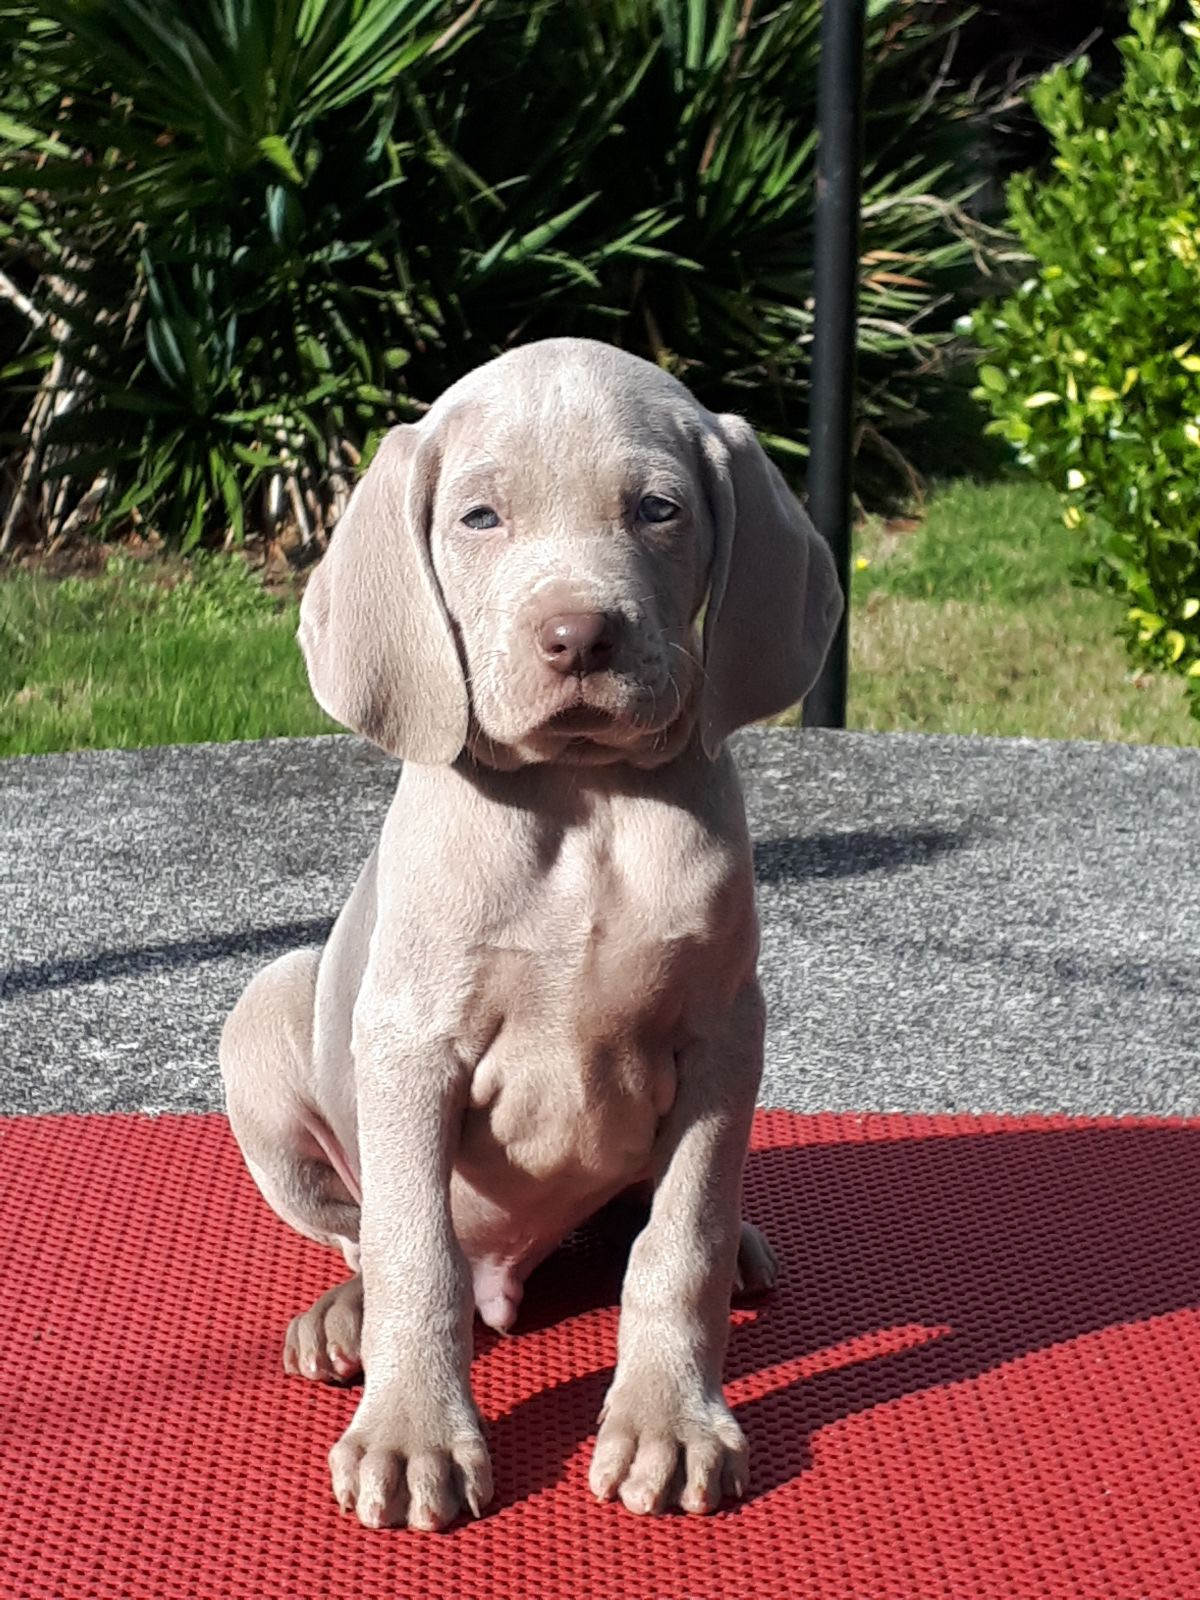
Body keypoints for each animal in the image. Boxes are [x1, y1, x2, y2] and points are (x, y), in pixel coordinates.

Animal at [220, 337, 841, 1531]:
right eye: (479, 518)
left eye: (657, 509)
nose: (579, 637)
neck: (582, 797)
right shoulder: (411, 1042)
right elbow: (416, 1251)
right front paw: (413, 1434)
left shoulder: (723, 1035)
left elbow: (679, 1240)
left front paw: (670, 1420)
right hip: (267, 1009)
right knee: (365, 1228)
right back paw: (343, 1319)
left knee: (654, 1221)